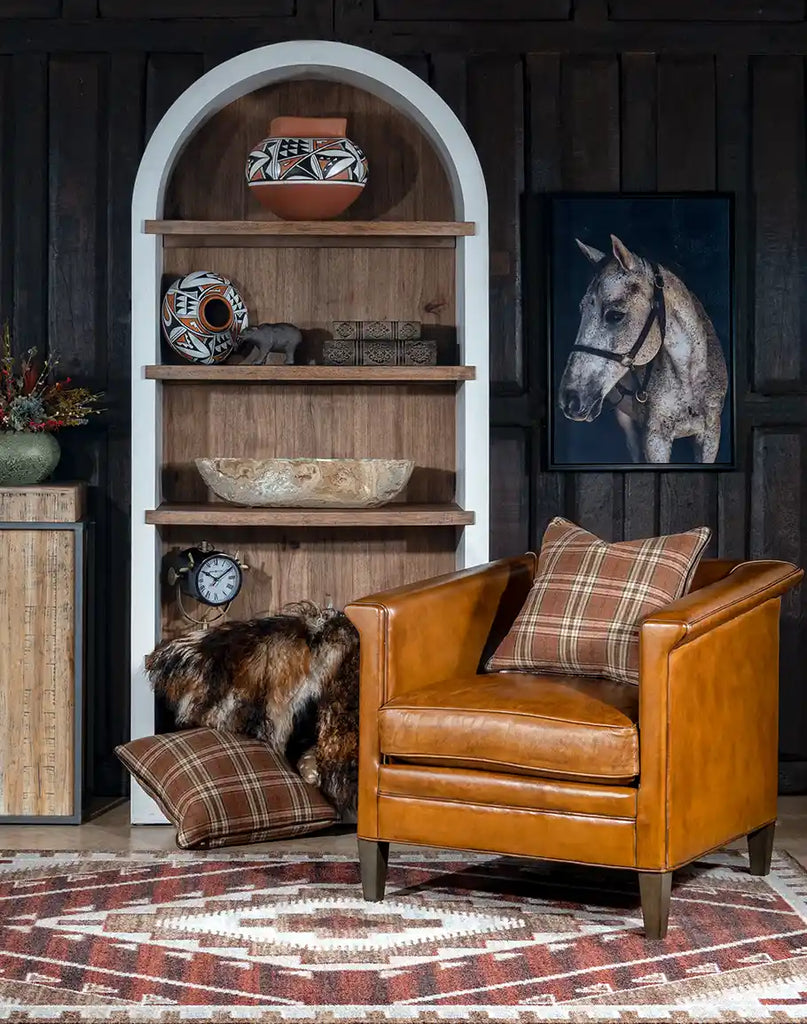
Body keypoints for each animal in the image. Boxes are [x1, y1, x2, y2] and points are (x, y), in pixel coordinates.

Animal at [557, 234, 729, 462]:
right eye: (581, 309)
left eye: (615, 315)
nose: (570, 399)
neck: (689, 377)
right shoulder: (655, 440)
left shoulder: (710, 435)